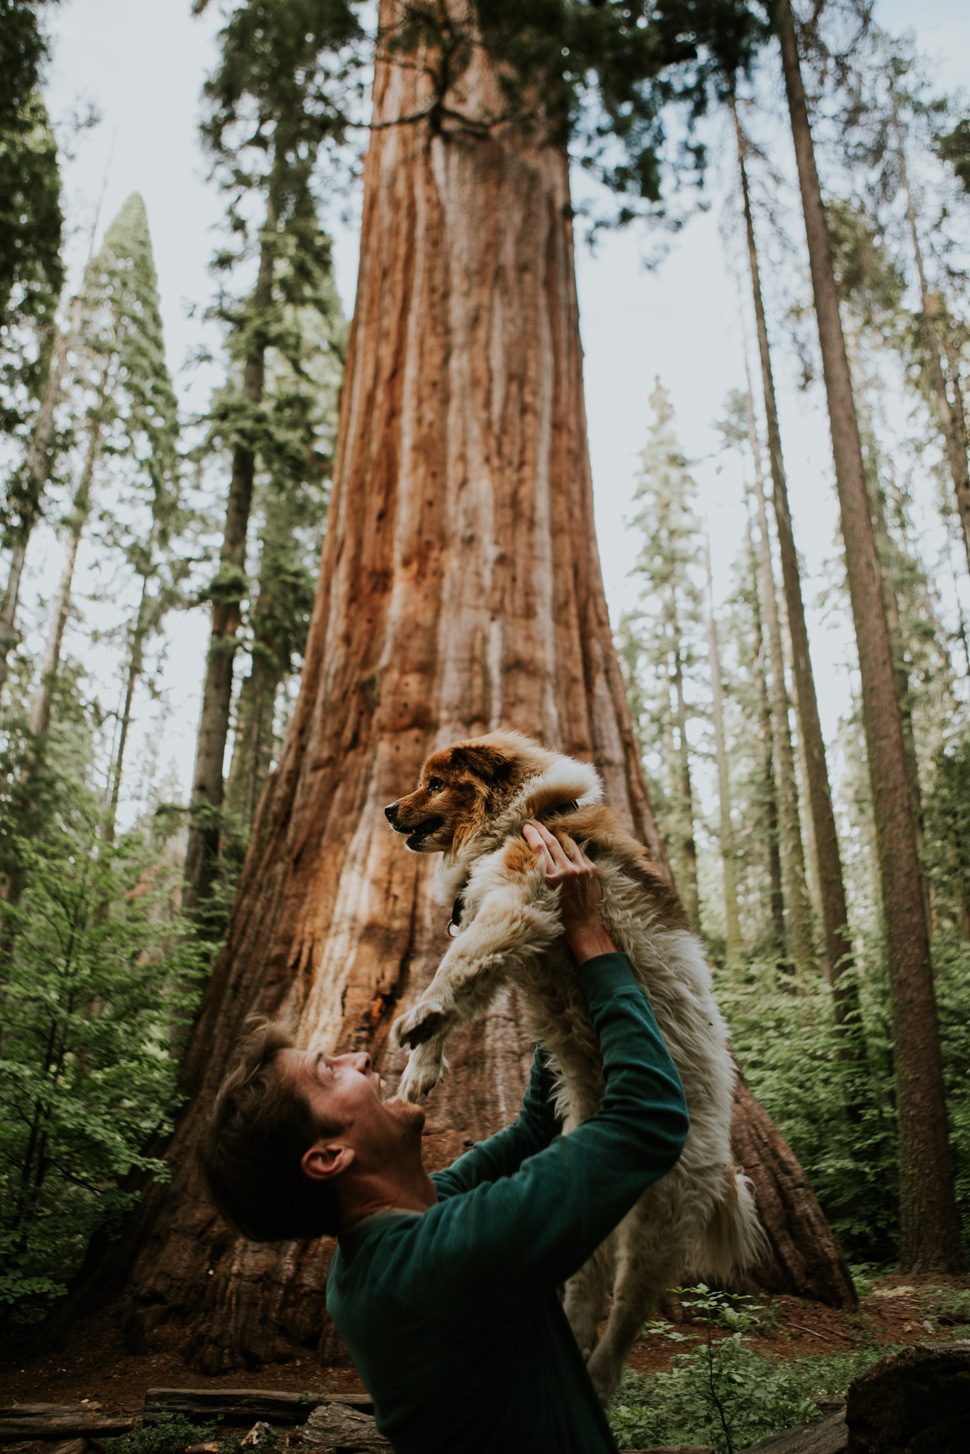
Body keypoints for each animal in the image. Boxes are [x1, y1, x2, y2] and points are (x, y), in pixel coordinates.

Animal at [383, 732, 762, 1401]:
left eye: (434, 784)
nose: (386, 811)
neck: (525, 815)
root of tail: (722, 1158)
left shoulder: (519, 900)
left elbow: (453, 968)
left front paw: (419, 1016)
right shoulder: (508, 927)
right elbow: (462, 990)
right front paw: (420, 1067)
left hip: (659, 1230)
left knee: (625, 1323)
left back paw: (600, 1380)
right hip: (593, 1217)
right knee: (587, 1292)